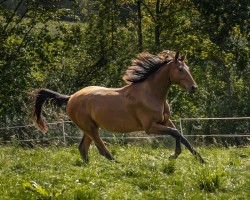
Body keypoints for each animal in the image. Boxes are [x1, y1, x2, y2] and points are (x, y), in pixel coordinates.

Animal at [30, 50, 205, 164]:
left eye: (188, 69)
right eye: (180, 69)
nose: (194, 87)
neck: (152, 94)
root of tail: (71, 97)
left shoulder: (165, 121)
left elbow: (180, 135)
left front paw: (199, 159)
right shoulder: (150, 127)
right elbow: (176, 133)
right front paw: (175, 155)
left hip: (89, 128)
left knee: (83, 148)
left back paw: (89, 167)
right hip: (90, 128)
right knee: (101, 149)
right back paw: (118, 164)